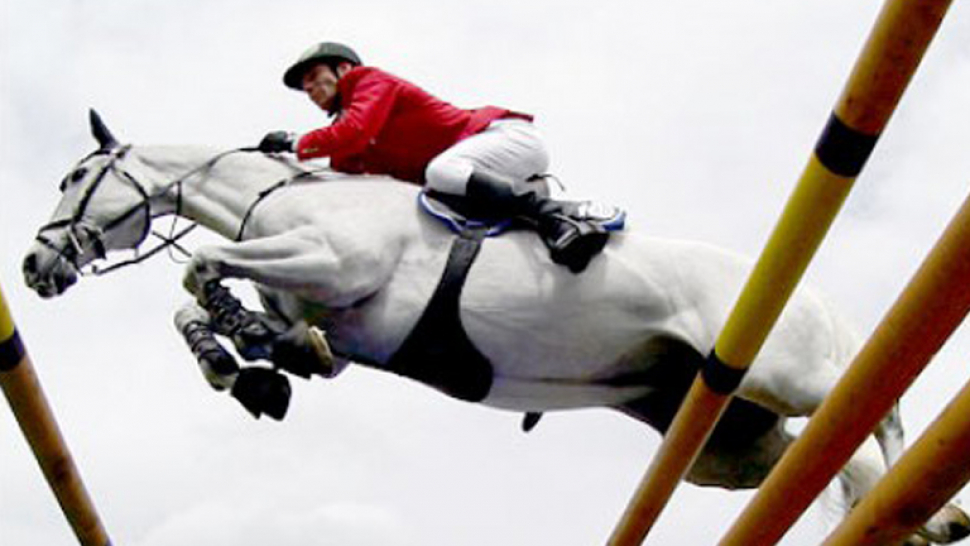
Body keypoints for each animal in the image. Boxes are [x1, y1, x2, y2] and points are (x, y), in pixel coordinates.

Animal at [22, 112, 968, 540]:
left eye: (73, 177)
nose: (35, 267)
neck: (278, 197)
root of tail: (806, 295)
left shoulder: (330, 264)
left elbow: (197, 270)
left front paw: (246, 355)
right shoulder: (329, 315)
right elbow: (215, 307)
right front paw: (249, 366)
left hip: (789, 370)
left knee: (875, 408)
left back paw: (935, 506)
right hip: (723, 444)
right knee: (832, 463)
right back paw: (927, 519)